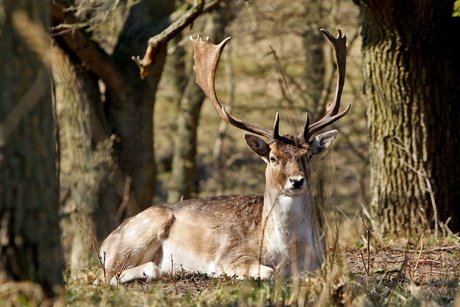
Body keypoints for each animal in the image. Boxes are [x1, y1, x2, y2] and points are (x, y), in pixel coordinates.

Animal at [95, 28, 350, 286]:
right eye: (273, 157)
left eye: (308, 155)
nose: (297, 181)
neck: (288, 255)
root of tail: (104, 244)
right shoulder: (230, 255)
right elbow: (268, 272)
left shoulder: (323, 262)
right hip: (140, 233)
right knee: (105, 276)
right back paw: (162, 270)